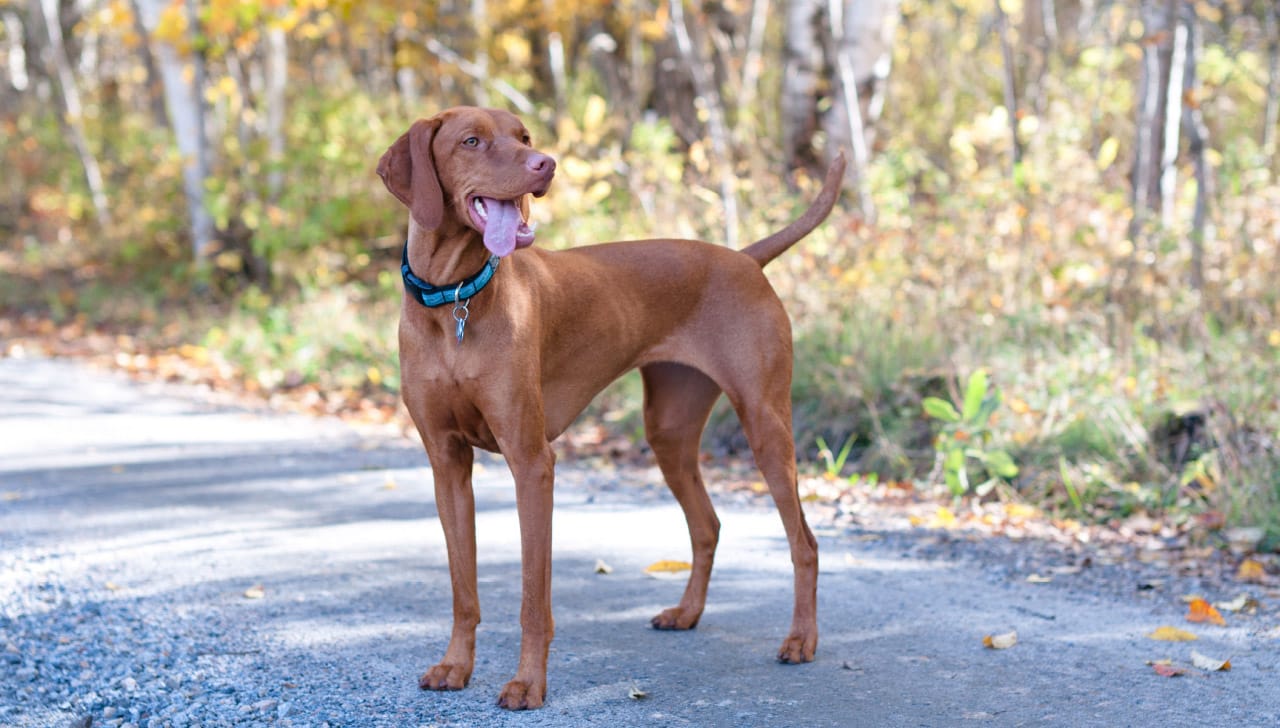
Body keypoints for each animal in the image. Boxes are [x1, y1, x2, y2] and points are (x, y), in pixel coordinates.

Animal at [373, 108, 844, 711]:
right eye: (472, 141)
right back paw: (687, 613)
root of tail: (743, 258)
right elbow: (463, 588)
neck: (454, 299)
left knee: (804, 542)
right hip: (668, 431)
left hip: (765, 425)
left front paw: (528, 684)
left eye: (524, 137)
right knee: (707, 525)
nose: (545, 164)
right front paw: (456, 666)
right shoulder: (447, 464)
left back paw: (801, 639)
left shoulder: (531, 463)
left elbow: (533, 598)